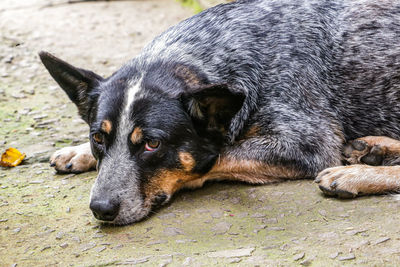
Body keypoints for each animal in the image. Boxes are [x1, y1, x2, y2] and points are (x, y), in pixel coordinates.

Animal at [39, 0, 400, 226]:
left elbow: (216, 156)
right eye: (98, 138)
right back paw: (374, 149)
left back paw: (357, 173)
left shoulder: (307, 142)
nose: (101, 209)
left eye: (153, 145)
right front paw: (79, 151)